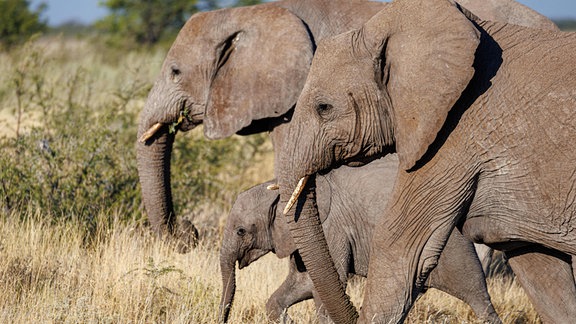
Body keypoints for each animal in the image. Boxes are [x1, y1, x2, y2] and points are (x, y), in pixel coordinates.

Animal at [218, 156, 498, 322]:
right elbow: (301, 283)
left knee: (477, 296)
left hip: (455, 249)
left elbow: (324, 284)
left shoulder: (332, 229)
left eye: (241, 231)